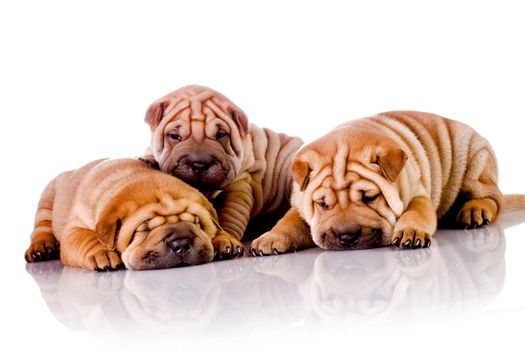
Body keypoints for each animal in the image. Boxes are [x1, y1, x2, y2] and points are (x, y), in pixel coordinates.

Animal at [25, 159, 244, 270]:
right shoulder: (75, 229)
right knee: (41, 228)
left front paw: (225, 241)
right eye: (143, 230)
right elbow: (86, 238)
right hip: (47, 199)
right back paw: (42, 249)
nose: (181, 243)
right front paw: (102, 253)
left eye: (197, 223)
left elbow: (216, 226)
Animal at [142, 85, 302, 249]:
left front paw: (225, 239)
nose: (199, 165)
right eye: (174, 136)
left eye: (221, 135)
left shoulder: (240, 186)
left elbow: (230, 216)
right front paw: (149, 160)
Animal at [249, 110, 524, 254]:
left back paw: (474, 210)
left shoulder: (418, 195)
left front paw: (411, 231)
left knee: (491, 199)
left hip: (475, 159)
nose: (346, 236)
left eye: (370, 198)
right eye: (323, 205)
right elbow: (289, 221)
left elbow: (416, 213)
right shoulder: (300, 205)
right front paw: (270, 237)